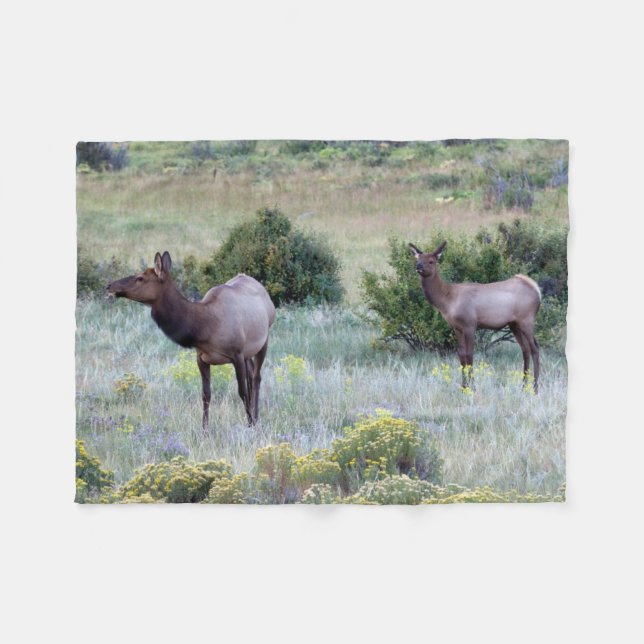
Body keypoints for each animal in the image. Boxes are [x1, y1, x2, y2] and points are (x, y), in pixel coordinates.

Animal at [106, 251, 276, 428]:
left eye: (140, 278)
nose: (109, 286)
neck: (205, 328)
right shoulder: (202, 358)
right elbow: (206, 394)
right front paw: (205, 428)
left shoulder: (237, 353)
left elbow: (242, 392)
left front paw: (250, 423)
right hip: (248, 352)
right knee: (251, 374)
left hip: (264, 339)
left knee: (256, 378)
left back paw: (256, 416)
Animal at [409, 241, 541, 392]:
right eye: (417, 259)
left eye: (431, 261)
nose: (418, 266)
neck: (447, 301)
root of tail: (537, 291)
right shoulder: (457, 327)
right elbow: (461, 354)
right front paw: (463, 386)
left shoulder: (470, 324)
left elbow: (469, 354)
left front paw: (473, 387)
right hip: (514, 324)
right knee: (525, 349)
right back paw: (523, 386)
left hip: (527, 320)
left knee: (535, 349)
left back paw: (535, 388)